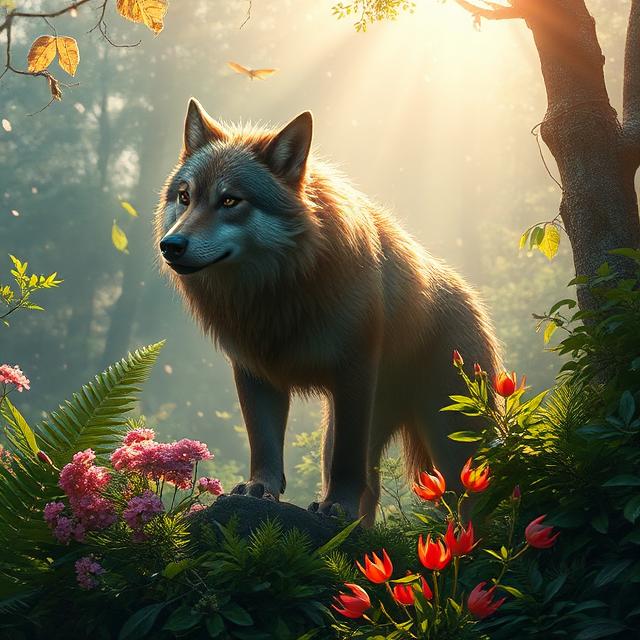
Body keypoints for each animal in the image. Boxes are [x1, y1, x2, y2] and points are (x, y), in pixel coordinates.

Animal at [155, 99, 501, 525]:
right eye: (185, 198)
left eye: (230, 200)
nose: (171, 245)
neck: (277, 291)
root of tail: (470, 297)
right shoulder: (254, 372)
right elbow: (264, 444)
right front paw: (259, 489)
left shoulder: (353, 375)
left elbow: (346, 464)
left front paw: (338, 506)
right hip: (347, 431)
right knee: (373, 492)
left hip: (452, 447)